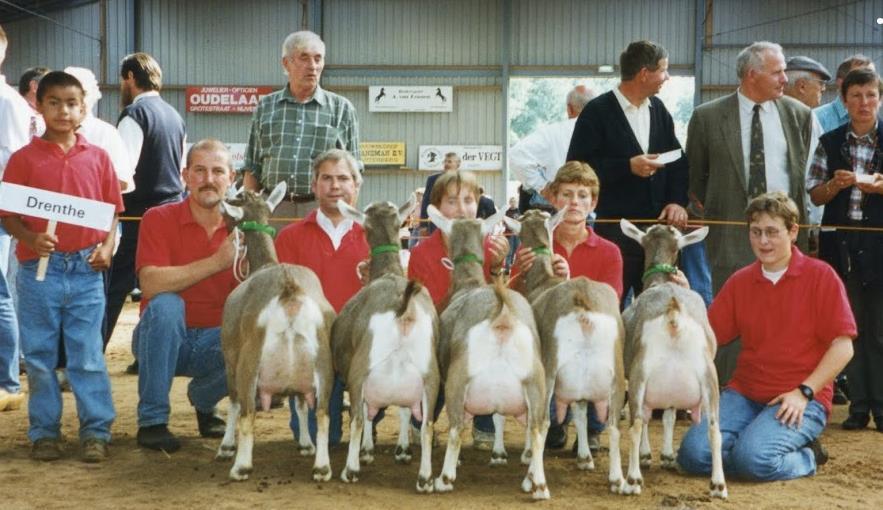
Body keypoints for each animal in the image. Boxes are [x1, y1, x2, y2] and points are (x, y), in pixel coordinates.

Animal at [216, 182, 336, 482]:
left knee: (247, 412)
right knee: (323, 413)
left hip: (248, 363)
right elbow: (301, 405)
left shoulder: (229, 358)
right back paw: (322, 467)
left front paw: (225, 447)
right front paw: (305, 444)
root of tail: (289, 289)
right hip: (324, 364)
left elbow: (233, 403)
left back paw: (240, 466)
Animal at [334, 197, 440, 492]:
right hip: (431, 375)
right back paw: (425, 478)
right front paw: (402, 451)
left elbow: (366, 414)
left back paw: (350, 470)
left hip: (360, 369)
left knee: (358, 419)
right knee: (427, 425)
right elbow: (403, 411)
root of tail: (402, 306)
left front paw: (367, 451)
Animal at [430, 205, 552, 500]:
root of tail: (502, 312)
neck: (469, 283)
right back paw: (537, 485)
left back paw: (444, 479)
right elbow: (497, 417)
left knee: (455, 428)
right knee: (538, 428)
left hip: (457, 380)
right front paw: (498, 454)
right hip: (536, 382)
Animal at [504, 209, 628, 492]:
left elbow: (533, 417)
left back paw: (535, 482)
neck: (545, 280)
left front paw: (527, 454)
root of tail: (581, 301)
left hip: (549, 369)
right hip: (615, 371)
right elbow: (580, 411)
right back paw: (618, 480)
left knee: (542, 420)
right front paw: (585, 458)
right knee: (614, 424)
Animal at [620, 219, 728, 498]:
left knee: (637, 424)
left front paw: (649, 456)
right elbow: (668, 414)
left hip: (639, 375)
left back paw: (633, 480)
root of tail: (673, 312)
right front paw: (668, 456)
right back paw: (718, 485)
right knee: (714, 429)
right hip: (709, 377)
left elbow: (650, 419)